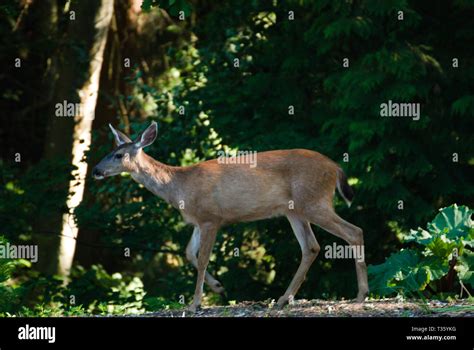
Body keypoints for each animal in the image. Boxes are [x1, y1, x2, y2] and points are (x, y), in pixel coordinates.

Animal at [90, 121, 368, 312]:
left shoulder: (211, 217)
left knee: (354, 231)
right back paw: (283, 299)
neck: (178, 186)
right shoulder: (198, 220)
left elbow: (202, 259)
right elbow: (188, 253)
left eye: (118, 155)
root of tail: (336, 167)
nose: (95, 171)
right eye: (109, 151)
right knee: (311, 247)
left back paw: (361, 294)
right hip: (294, 210)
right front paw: (218, 287)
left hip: (313, 201)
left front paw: (195, 304)